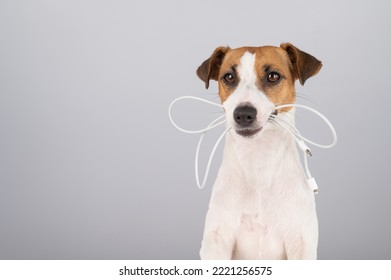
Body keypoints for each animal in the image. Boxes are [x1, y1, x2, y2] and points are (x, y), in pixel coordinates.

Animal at [198, 42, 324, 260]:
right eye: (229, 77)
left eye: (273, 76)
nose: (243, 114)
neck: (258, 159)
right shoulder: (216, 241)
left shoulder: (300, 242)